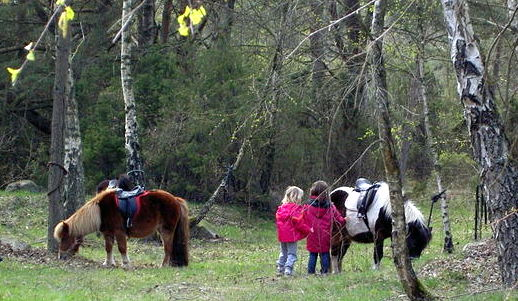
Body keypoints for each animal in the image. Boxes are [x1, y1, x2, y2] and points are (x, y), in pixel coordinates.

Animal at [54, 189, 189, 266]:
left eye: (64, 238)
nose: (60, 256)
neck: (100, 212)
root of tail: (175, 199)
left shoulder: (119, 232)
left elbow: (122, 248)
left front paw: (125, 264)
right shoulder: (108, 233)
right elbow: (108, 248)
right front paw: (107, 263)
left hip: (166, 231)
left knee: (168, 249)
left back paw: (164, 265)